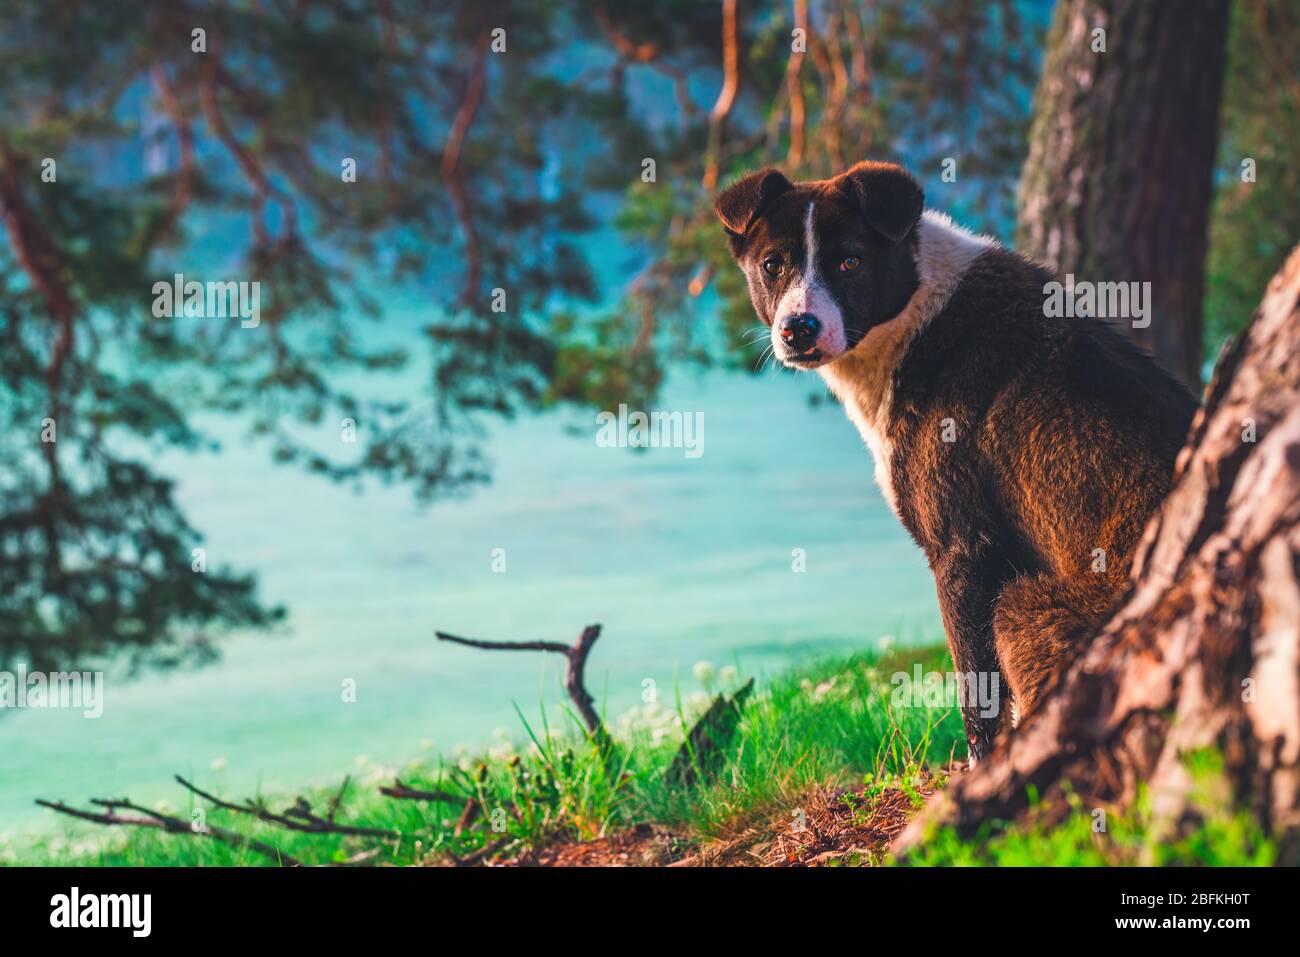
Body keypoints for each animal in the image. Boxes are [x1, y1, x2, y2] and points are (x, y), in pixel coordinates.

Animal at [717, 162, 1190, 764]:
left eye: (851, 260)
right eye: (772, 265)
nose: (798, 329)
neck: (916, 318)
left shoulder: (965, 553)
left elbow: (978, 696)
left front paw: (980, 770)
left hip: (1023, 606)